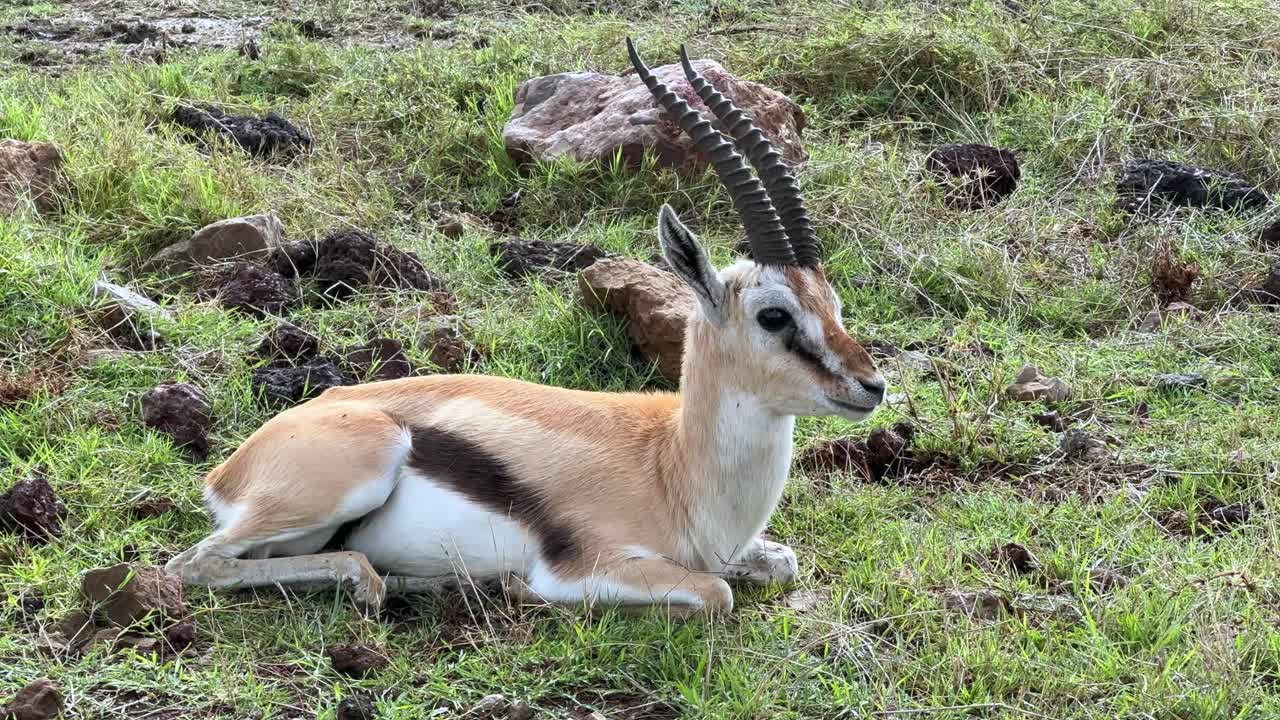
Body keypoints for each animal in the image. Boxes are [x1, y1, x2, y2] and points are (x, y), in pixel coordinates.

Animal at [164, 39, 885, 616]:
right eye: (774, 314)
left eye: (833, 301)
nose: (871, 386)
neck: (674, 466)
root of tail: (230, 469)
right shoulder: (589, 568)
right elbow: (718, 592)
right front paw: (519, 585)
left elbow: (781, 562)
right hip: (349, 480)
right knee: (195, 564)